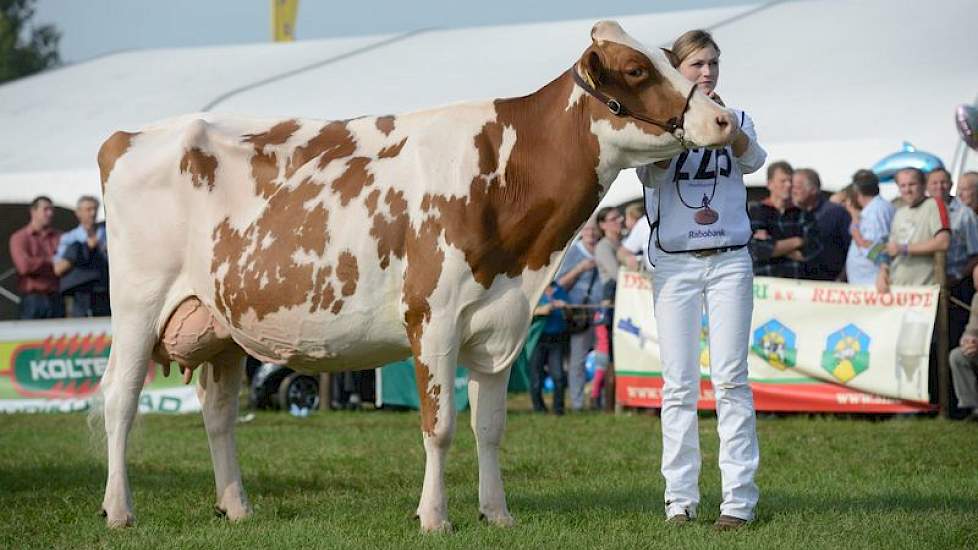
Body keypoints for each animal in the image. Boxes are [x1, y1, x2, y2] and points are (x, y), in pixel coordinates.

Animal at [97, 20, 732, 532]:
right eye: (637, 69)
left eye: (672, 58)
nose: (724, 118)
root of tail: (129, 135)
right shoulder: (434, 317)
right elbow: (440, 425)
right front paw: (434, 517)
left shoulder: (501, 322)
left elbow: (490, 427)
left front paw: (497, 514)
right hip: (137, 305)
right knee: (119, 400)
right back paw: (119, 510)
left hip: (220, 323)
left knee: (218, 413)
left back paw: (236, 506)